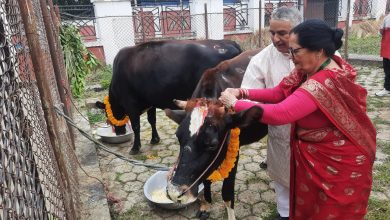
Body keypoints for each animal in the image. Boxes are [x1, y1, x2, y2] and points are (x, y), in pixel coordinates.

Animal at [95, 39, 241, 154]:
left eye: (107, 116)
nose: (119, 132)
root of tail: (229, 42)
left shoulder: (130, 104)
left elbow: (136, 126)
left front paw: (135, 148)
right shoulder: (150, 102)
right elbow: (152, 120)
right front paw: (155, 139)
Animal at [165, 49, 268, 219]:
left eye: (213, 144)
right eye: (178, 137)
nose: (175, 192)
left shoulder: (234, 150)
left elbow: (227, 193)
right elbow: (206, 180)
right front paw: (206, 206)